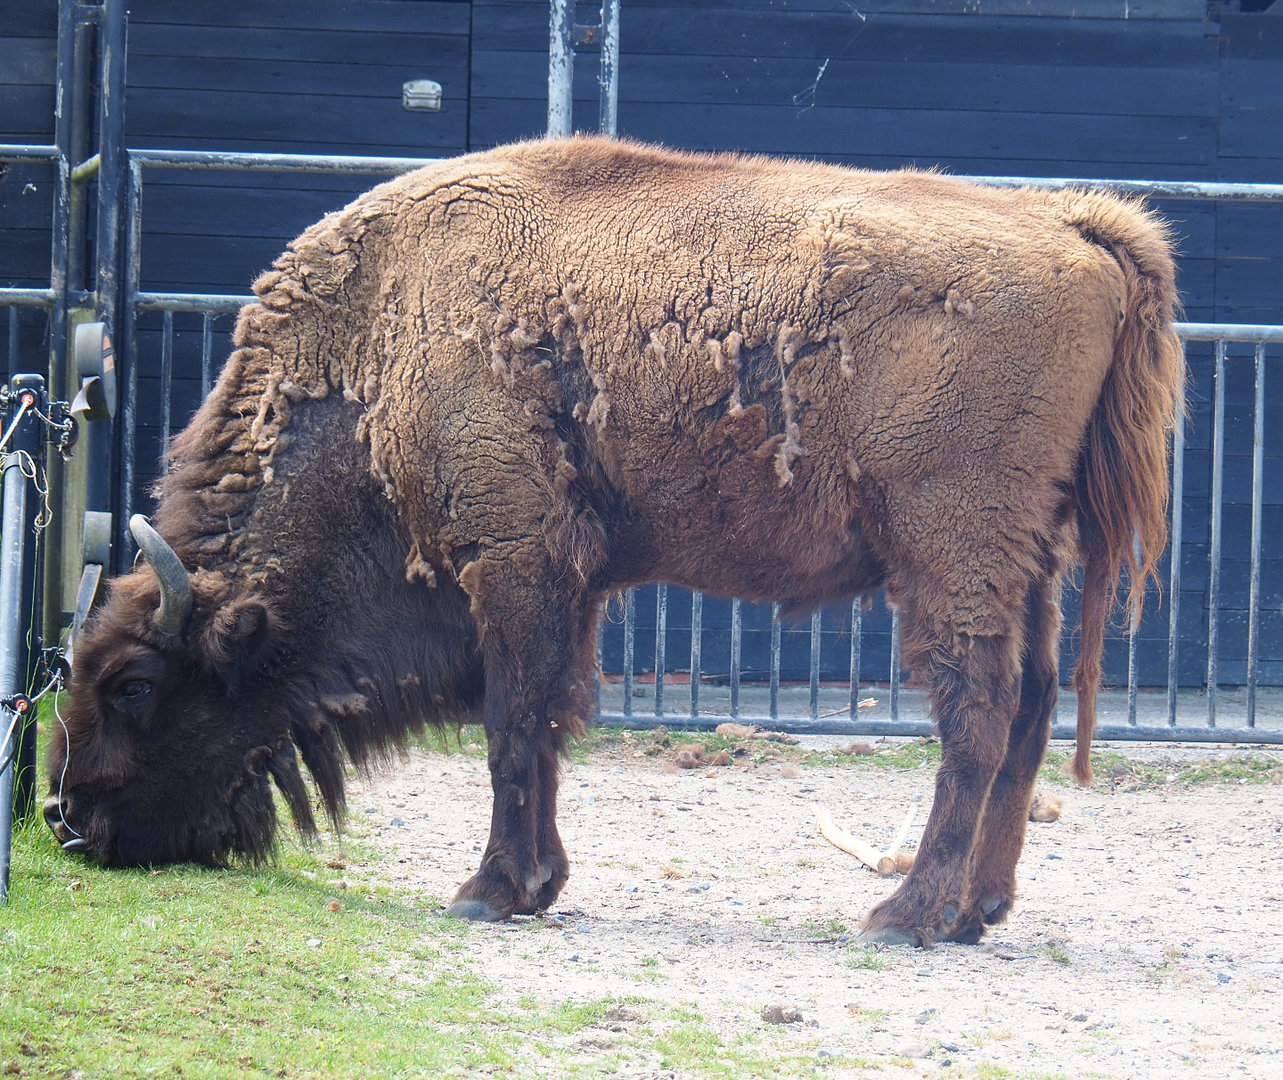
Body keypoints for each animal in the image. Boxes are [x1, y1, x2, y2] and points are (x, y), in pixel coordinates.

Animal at [46, 137, 1183, 945]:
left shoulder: (512, 560)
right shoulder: (567, 584)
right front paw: (535, 885)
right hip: (1024, 559)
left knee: (974, 712)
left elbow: (512, 723)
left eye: (134, 684)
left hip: (949, 548)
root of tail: (1072, 227)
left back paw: (904, 917)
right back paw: (976, 912)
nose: (66, 822)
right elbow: (547, 721)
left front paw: (487, 890)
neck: (381, 341)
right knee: (1028, 705)